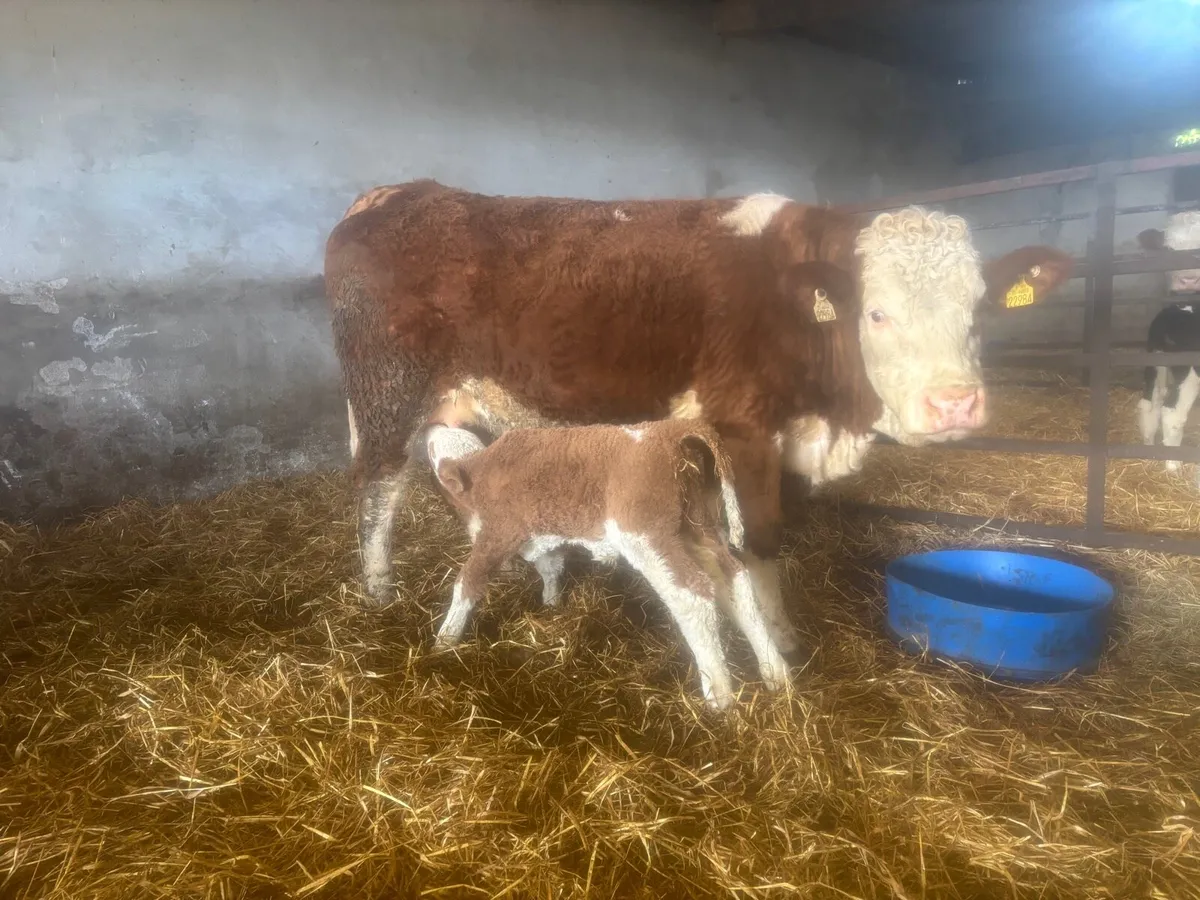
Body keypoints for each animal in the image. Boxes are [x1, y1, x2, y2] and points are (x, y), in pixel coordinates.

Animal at [324, 179, 1073, 655]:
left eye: (979, 310)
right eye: (877, 313)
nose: (954, 402)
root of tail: (399, 193)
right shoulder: (744, 429)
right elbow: (761, 538)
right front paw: (782, 640)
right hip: (386, 390)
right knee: (379, 487)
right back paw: (379, 592)